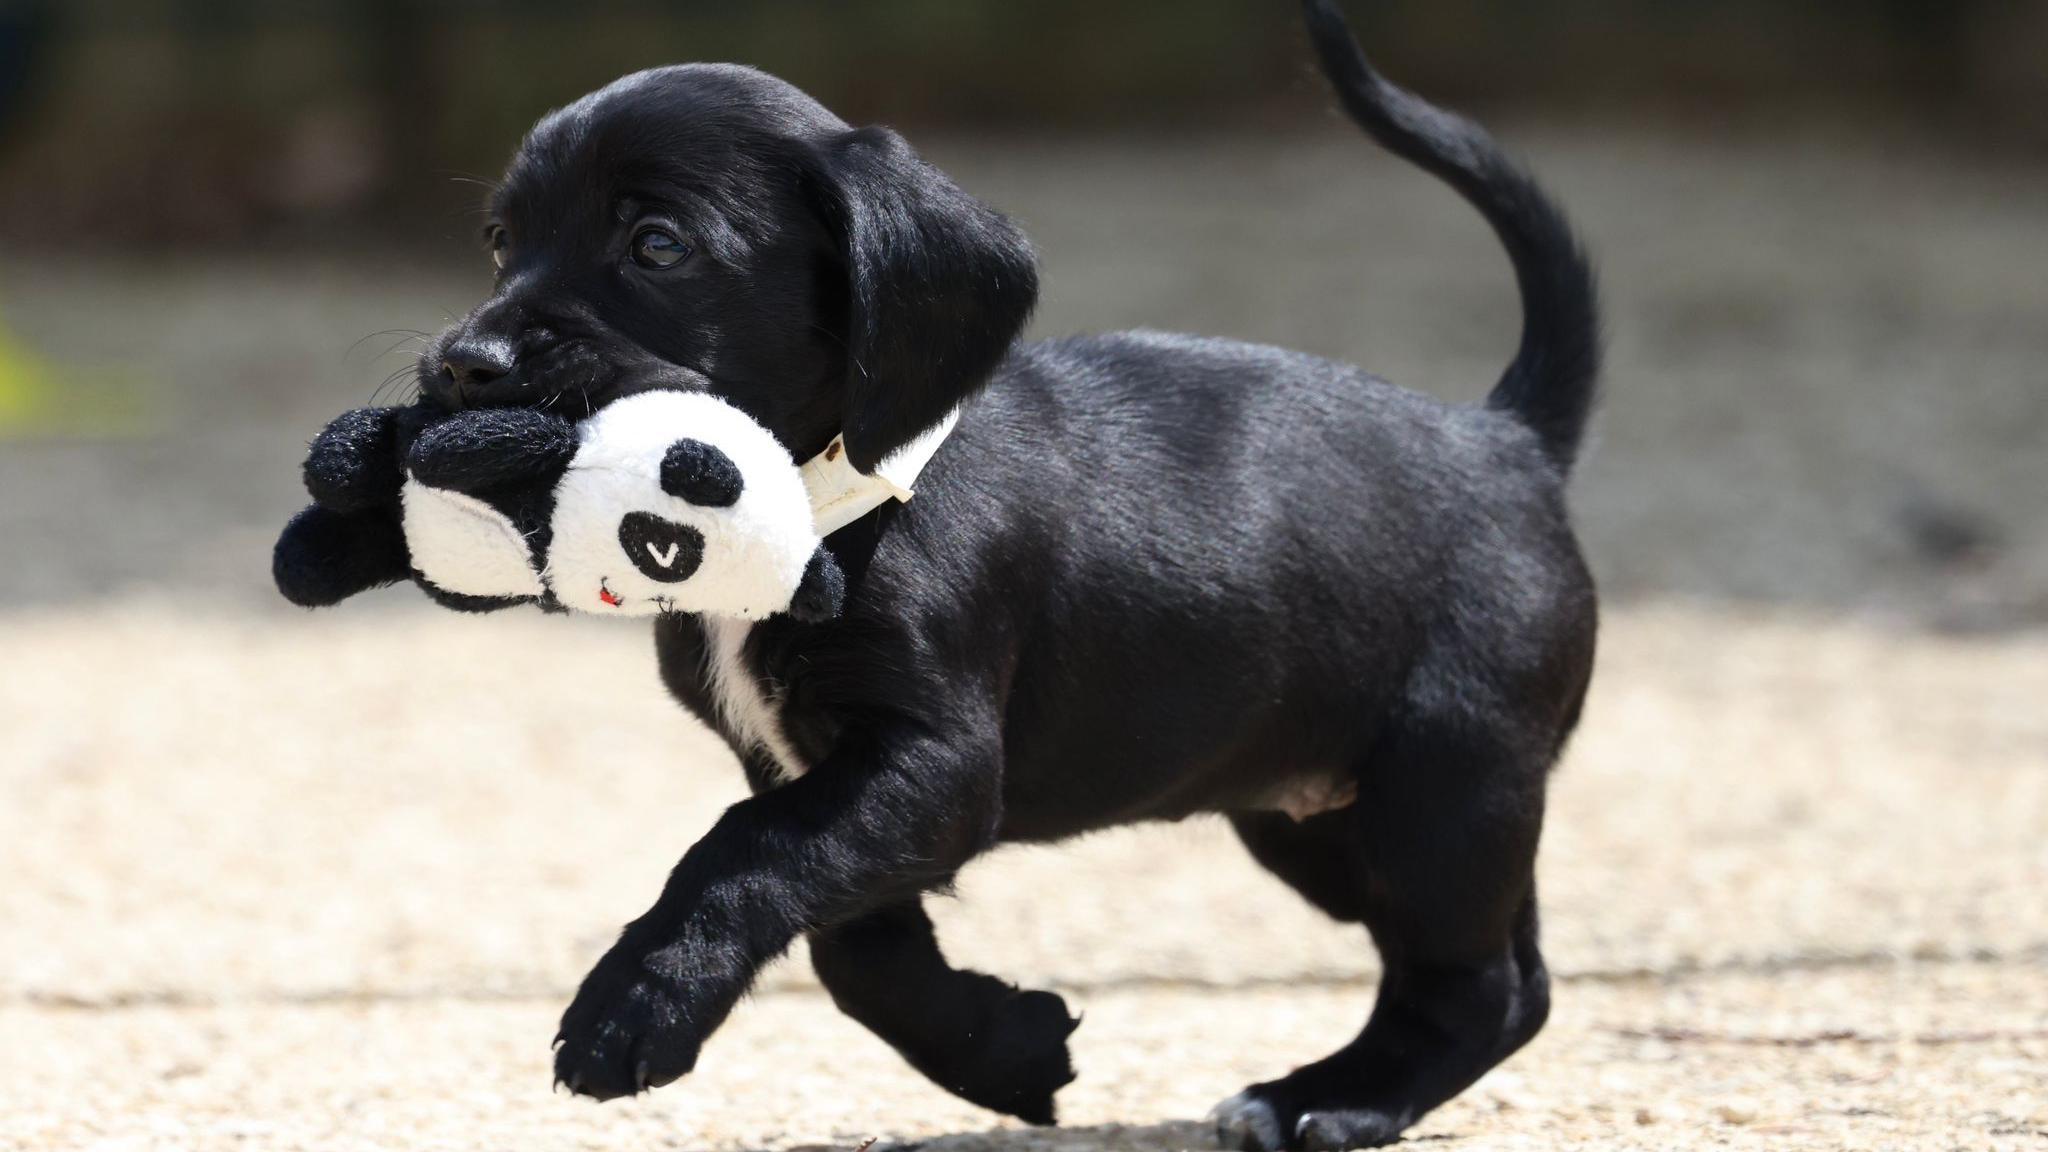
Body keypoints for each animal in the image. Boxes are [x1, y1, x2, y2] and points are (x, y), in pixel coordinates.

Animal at [288, 4, 1597, 1139]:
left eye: (656, 245)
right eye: (500, 241)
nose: (465, 364)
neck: (818, 509)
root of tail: (1507, 442)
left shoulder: (932, 762)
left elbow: (737, 858)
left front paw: (634, 1007)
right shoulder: (823, 776)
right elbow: (846, 941)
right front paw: (999, 1050)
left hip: (1438, 789)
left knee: (1470, 983)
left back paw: (1329, 1102)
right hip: (1317, 815)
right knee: (1516, 977)